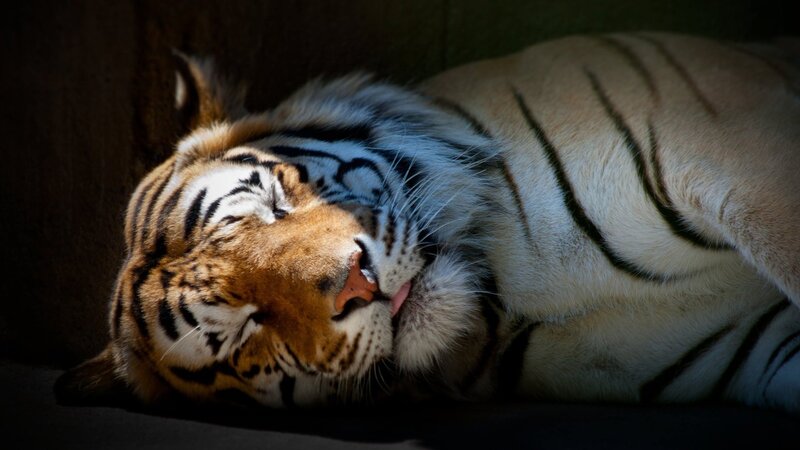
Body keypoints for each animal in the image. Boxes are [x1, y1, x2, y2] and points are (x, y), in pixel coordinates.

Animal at [55, 32, 800, 412]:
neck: (511, 287)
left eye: (274, 201)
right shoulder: (751, 350)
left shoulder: (740, 150)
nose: (357, 283)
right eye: (244, 327)